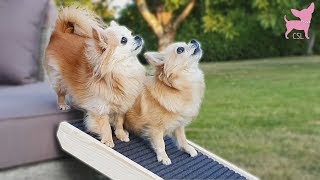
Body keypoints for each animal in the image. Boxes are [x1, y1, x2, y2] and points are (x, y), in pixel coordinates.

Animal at [43, 7, 145, 147]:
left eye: (131, 34)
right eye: (124, 40)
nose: (138, 37)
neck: (121, 69)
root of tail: (60, 32)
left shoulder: (120, 105)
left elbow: (119, 121)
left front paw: (121, 134)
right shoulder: (99, 108)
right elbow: (105, 125)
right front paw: (108, 140)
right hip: (59, 79)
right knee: (61, 93)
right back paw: (63, 105)